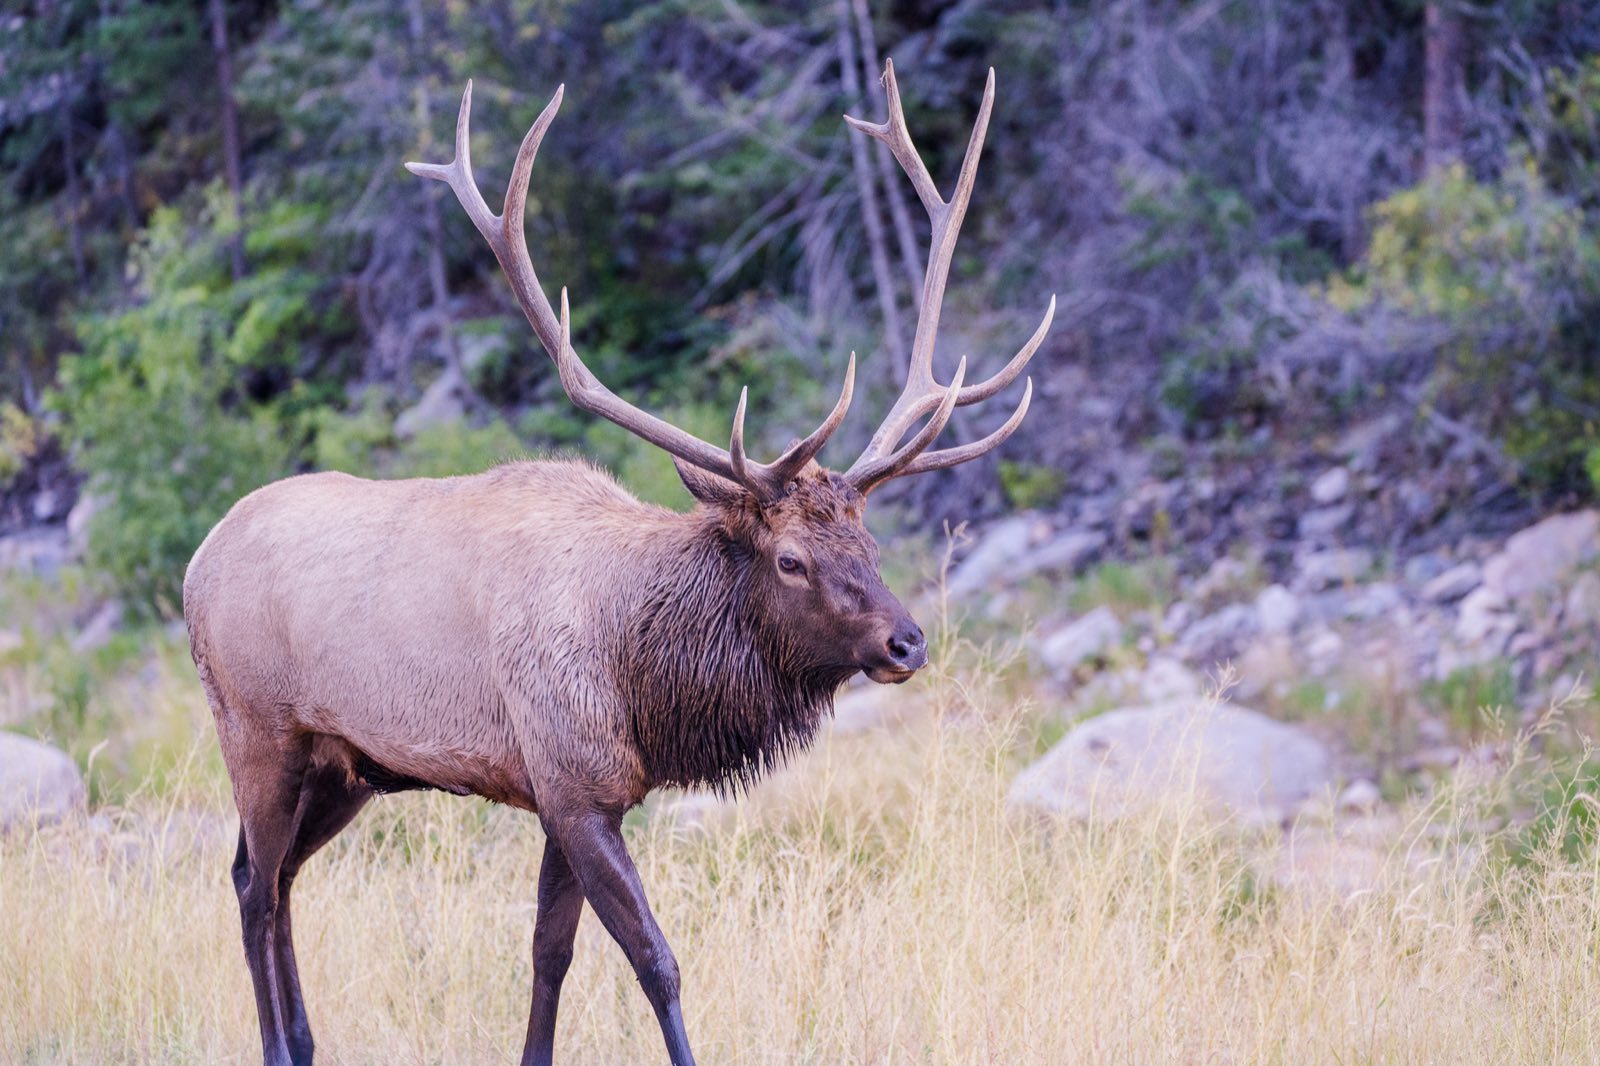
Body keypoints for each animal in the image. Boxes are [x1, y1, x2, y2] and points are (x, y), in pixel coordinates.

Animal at [183, 60, 1053, 1066]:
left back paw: (307, 1038)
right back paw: (278, 1043)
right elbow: (655, 959)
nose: (907, 641)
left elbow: (548, 954)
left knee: (274, 875)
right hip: (256, 727)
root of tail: (195, 566)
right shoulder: (572, 784)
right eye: (791, 561)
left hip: (346, 764)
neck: (646, 679)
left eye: (867, 544)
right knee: (253, 884)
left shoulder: (580, 792)